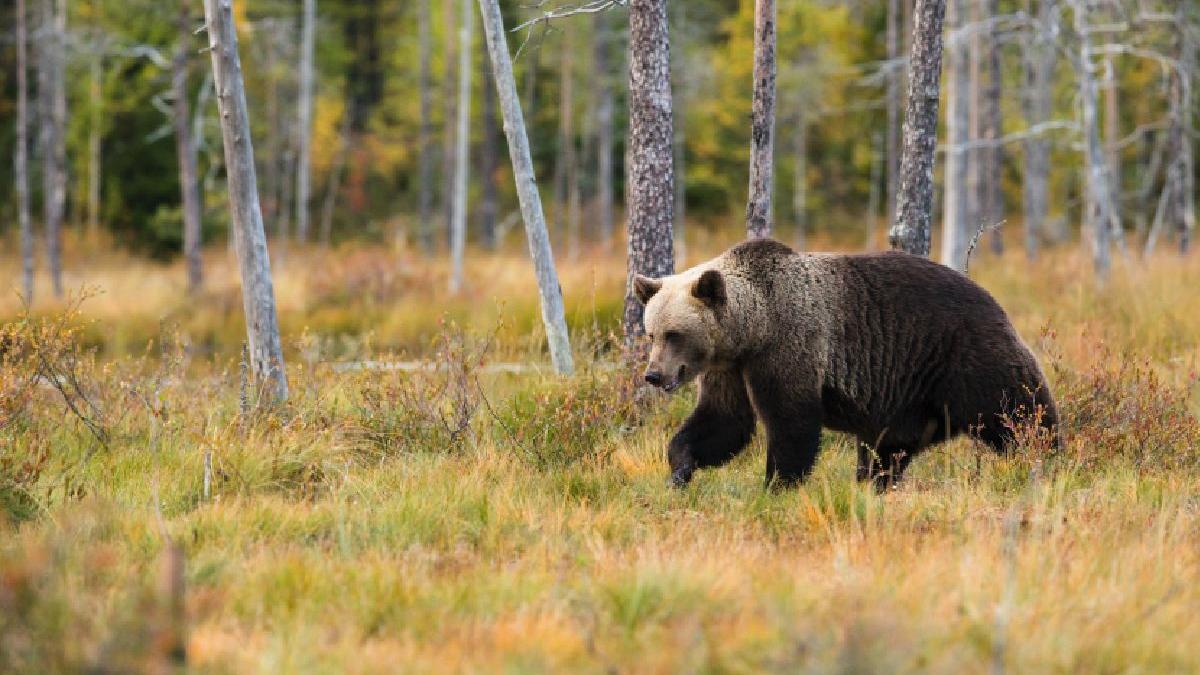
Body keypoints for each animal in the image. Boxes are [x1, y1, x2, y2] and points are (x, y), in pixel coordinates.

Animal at [638, 237, 1060, 487]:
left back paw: (1049, 459)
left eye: (674, 333)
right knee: (886, 450)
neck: (753, 328)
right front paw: (680, 468)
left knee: (1020, 411)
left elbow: (792, 423)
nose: (653, 375)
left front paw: (778, 484)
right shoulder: (730, 368)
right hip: (907, 398)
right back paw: (874, 483)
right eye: (651, 333)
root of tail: (993, 299)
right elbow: (724, 421)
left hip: (965, 357)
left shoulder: (790, 345)